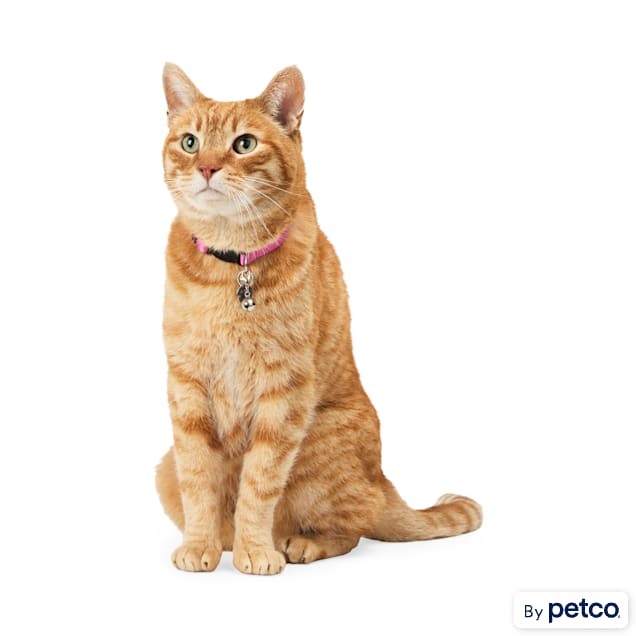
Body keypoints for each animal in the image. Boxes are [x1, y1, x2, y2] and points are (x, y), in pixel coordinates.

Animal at [155, 63, 482, 575]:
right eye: (190, 142)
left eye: (243, 144)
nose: (206, 167)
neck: (231, 267)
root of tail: (385, 482)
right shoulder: (186, 387)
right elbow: (198, 480)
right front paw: (200, 545)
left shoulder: (283, 390)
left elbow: (259, 483)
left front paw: (255, 551)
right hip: (163, 467)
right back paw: (226, 542)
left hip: (321, 440)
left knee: (352, 527)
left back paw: (299, 544)